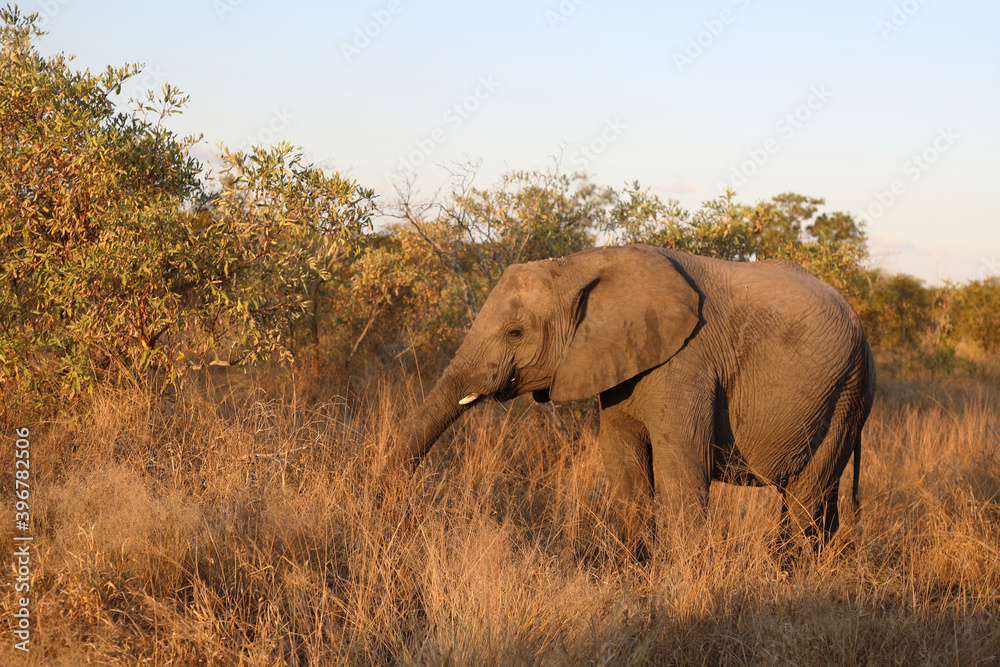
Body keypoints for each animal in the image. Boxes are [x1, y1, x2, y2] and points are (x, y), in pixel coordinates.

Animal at [390, 244, 876, 552]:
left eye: (514, 332)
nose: (404, 517)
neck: (580, 265)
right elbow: (624, 469)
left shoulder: (686, 365)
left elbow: (681, 471)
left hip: (847, 393)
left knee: (806, 500)